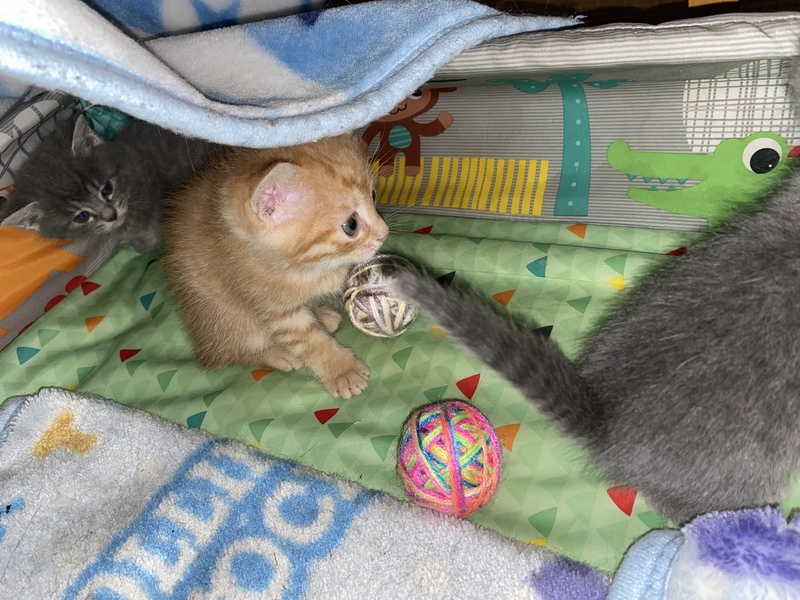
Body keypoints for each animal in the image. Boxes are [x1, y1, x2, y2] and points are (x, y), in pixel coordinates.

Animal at [162, 134, 389, 399]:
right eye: (351, 225)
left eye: (373, 195)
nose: (385, 233)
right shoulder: (272, 307)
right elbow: (309, 341)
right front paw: (342, 370)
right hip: (227, 318)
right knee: (237, 350)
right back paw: (276, 354)